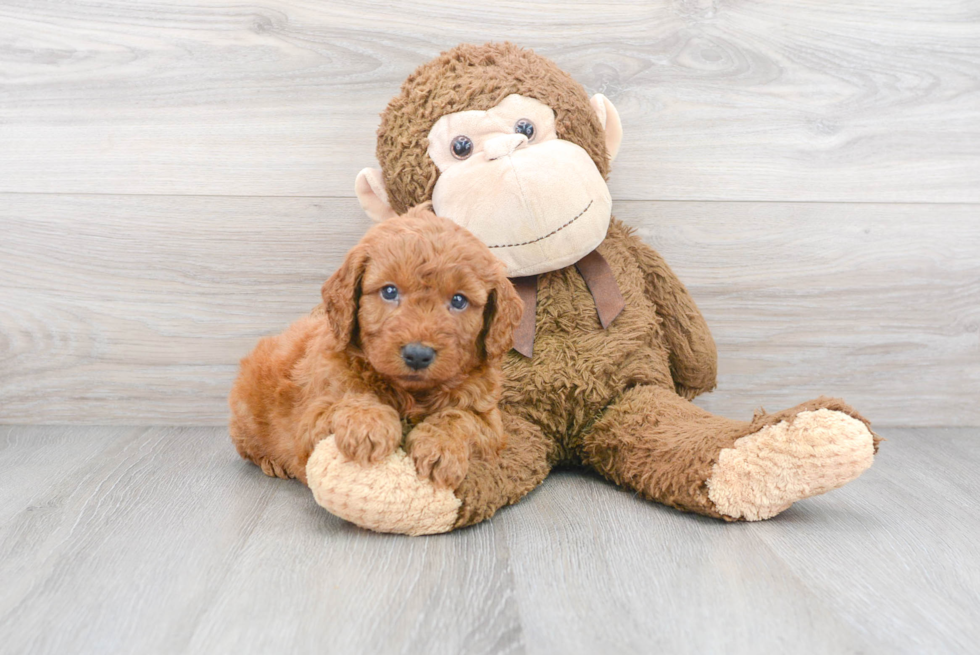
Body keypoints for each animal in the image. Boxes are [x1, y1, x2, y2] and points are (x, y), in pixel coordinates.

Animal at [230, 208, 524, 490]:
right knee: (245, 445)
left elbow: (461, 417)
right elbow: (346, 401)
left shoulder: (490, 422)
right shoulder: (310, 421)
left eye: (459, 300)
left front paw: (439, 448)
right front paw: (367, 425)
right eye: (390, 291)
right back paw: (270, 461)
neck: (411, 394)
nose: (418, 355)